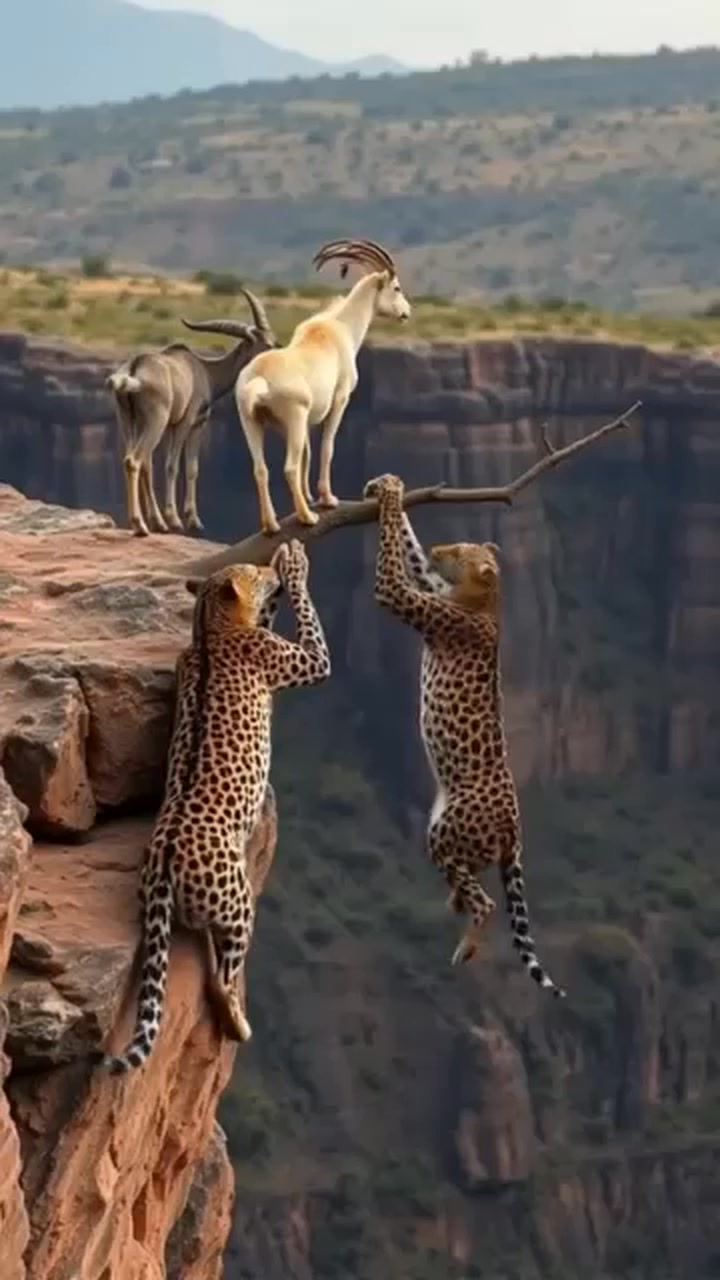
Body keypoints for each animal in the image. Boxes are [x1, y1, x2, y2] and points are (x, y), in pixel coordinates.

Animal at [107, 289, 275, 537]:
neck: (204, 370)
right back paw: (141, 525)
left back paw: (152, 522)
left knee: (141, 460)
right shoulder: (188, 423)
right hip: (155, 421)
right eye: (266, 344)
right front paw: (179, 519)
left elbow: (189, 468)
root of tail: (134, 370)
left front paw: (185, 520)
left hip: (129, 422)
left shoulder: (186, 426)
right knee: (134, 460)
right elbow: (175, 466)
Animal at [227, 239, 411, 535]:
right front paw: (326, 498)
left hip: (252, 421)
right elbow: (326, 447)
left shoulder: (302, 424)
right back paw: (306, 517)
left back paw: (271, 525)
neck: (339, 329)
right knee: (288, 468)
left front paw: (311, 496)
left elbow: (308, 453)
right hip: (294, 417)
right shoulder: (340, 400)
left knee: (260, 469)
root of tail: (259, 378)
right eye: (396, 287)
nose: (406, 312)